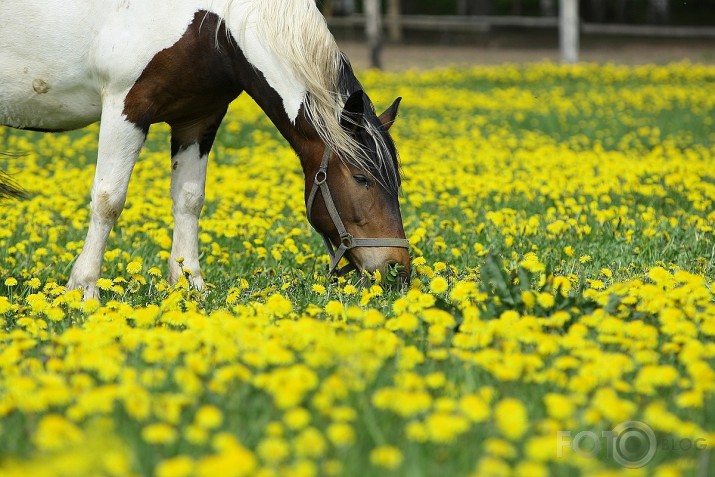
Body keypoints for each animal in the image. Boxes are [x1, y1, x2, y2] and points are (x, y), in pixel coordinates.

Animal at [0, 0, 412, 298]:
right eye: (361, 178)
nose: (398, 269)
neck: (214, 27)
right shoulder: (125, 106)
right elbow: (108, 200)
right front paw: (84, 289)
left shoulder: (198, 119)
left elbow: (189, 200)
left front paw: (189, 284)